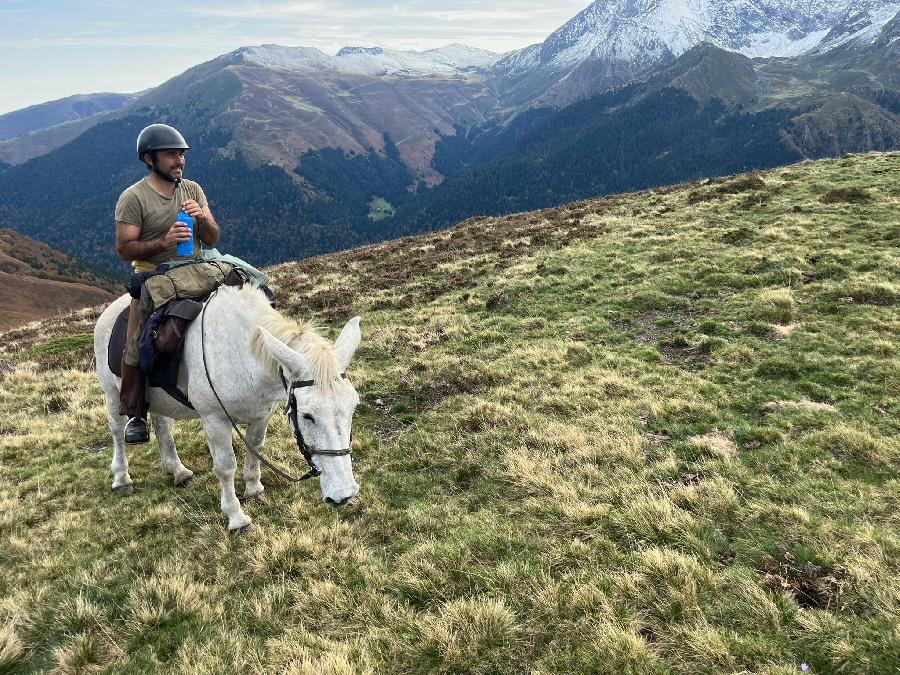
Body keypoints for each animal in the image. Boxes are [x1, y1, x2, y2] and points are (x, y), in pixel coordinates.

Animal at [90, 282, 358, 532]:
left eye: (353, 407)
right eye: (307, 415)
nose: (343, 495)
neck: (242, 355)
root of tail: (108, 312)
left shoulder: (262, 414)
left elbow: (255, 448)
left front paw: (253, 487)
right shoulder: (214, 420)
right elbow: (226, 466)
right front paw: (235, 516)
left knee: (162, 425)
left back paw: (177, 470)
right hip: (113, 394)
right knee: (117, 431)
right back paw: (122, 477)